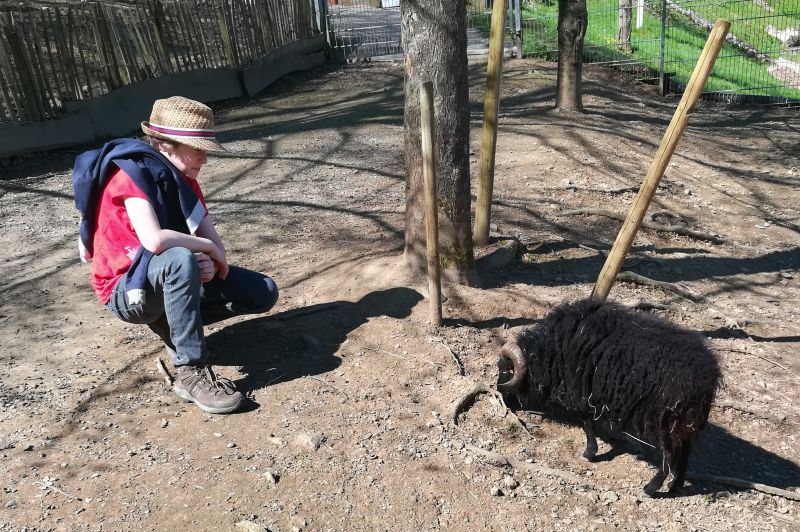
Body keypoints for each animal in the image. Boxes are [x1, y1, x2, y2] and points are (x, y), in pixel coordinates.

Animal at [496, 298, 720, 496]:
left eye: (505, 370)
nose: (500, 396)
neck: (549, 351)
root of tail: (708, 378)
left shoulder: (584, 395)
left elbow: (587, 423)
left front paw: (589, 453)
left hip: (663, 424)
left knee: (669, 457)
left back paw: (650, 488)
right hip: (684, 425)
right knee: (685, 453)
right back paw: (676, 486)